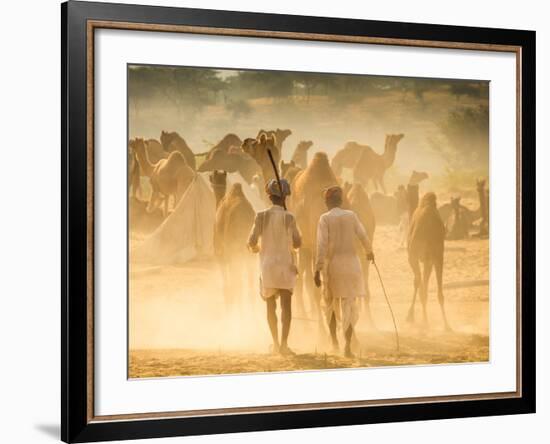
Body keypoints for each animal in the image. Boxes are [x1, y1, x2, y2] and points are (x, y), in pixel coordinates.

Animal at [408, 192, 450, 330]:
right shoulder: (416, 257)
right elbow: (420, 286)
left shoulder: (434, 258)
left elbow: (426, 288)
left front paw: (446, 325)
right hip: (424, 258)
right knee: (419, 283)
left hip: (429, 258)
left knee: (421, 284)